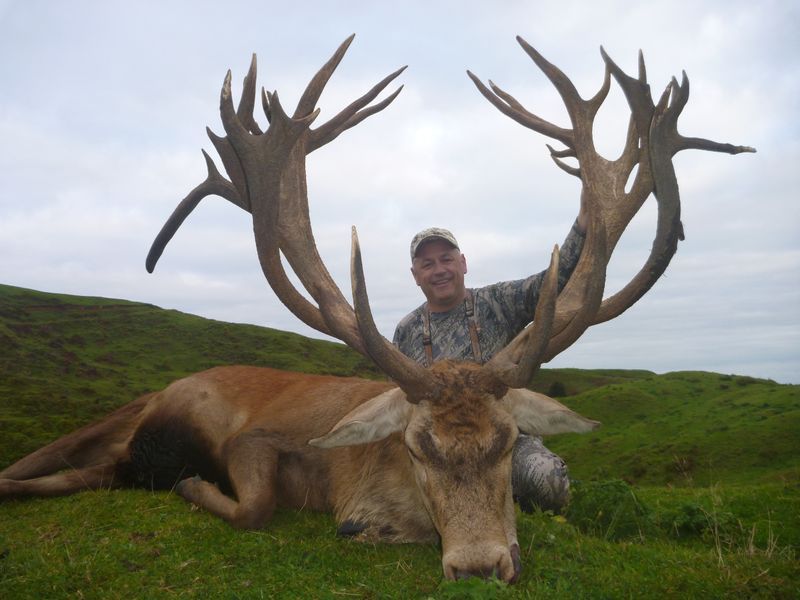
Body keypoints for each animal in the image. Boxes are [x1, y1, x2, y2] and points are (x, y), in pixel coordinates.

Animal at [0, 35, 753, 583]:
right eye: (417, 445)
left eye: (508, 441)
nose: (480, 566)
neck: (372, 483)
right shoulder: (258, 438)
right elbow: (256, 506)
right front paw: (197, 489)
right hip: (142, 413)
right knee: (46, 464)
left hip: (118, 449)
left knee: (85, 473)